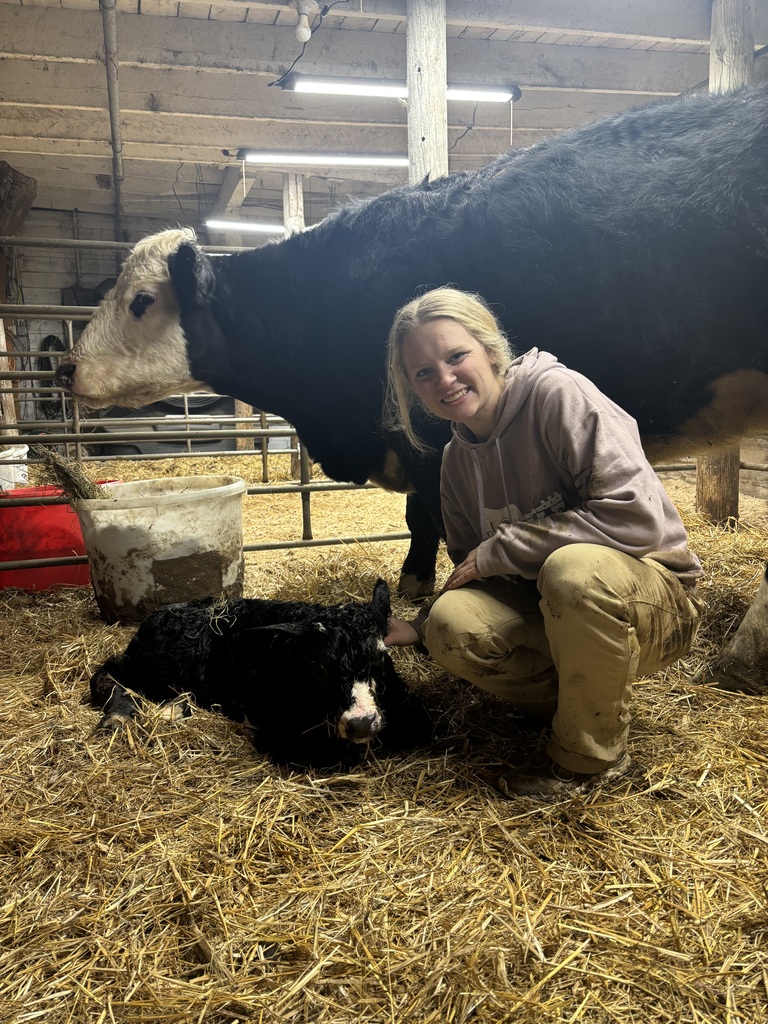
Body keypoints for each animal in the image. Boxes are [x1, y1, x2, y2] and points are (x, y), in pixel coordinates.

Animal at [57, 85, 768, 608]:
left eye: (140, 301)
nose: (67, 366)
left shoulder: (426, 437)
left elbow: (428, 515)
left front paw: (424, 584)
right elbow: (418, 514)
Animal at [90, 578, 433, 768]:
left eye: (379, 656)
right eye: (321, 665)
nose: (361, 722)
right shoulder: (278, 731)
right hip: (157, 665)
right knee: (107, 673)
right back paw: (119, 716)